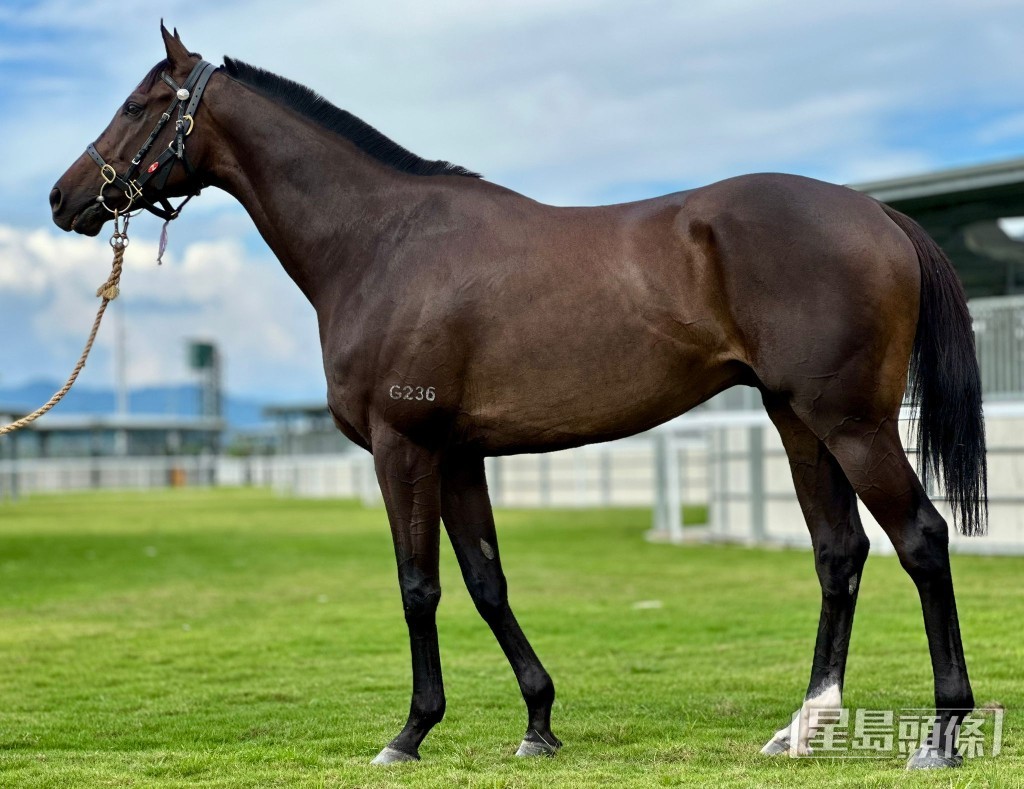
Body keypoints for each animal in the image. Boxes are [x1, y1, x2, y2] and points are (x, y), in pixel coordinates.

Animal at [49, 26, 987, 769]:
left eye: (137, 103)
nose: (62, 198)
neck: (381, 243)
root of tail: (876, 213)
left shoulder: (405, 445)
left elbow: (418, 585)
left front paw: (409, 733)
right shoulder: (461, 452)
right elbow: (486, 580)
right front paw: (538, 721)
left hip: (853, 423)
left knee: (920, 538)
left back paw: (943, 734)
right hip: (796, 420)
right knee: (839, 551)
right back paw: (804, 725)